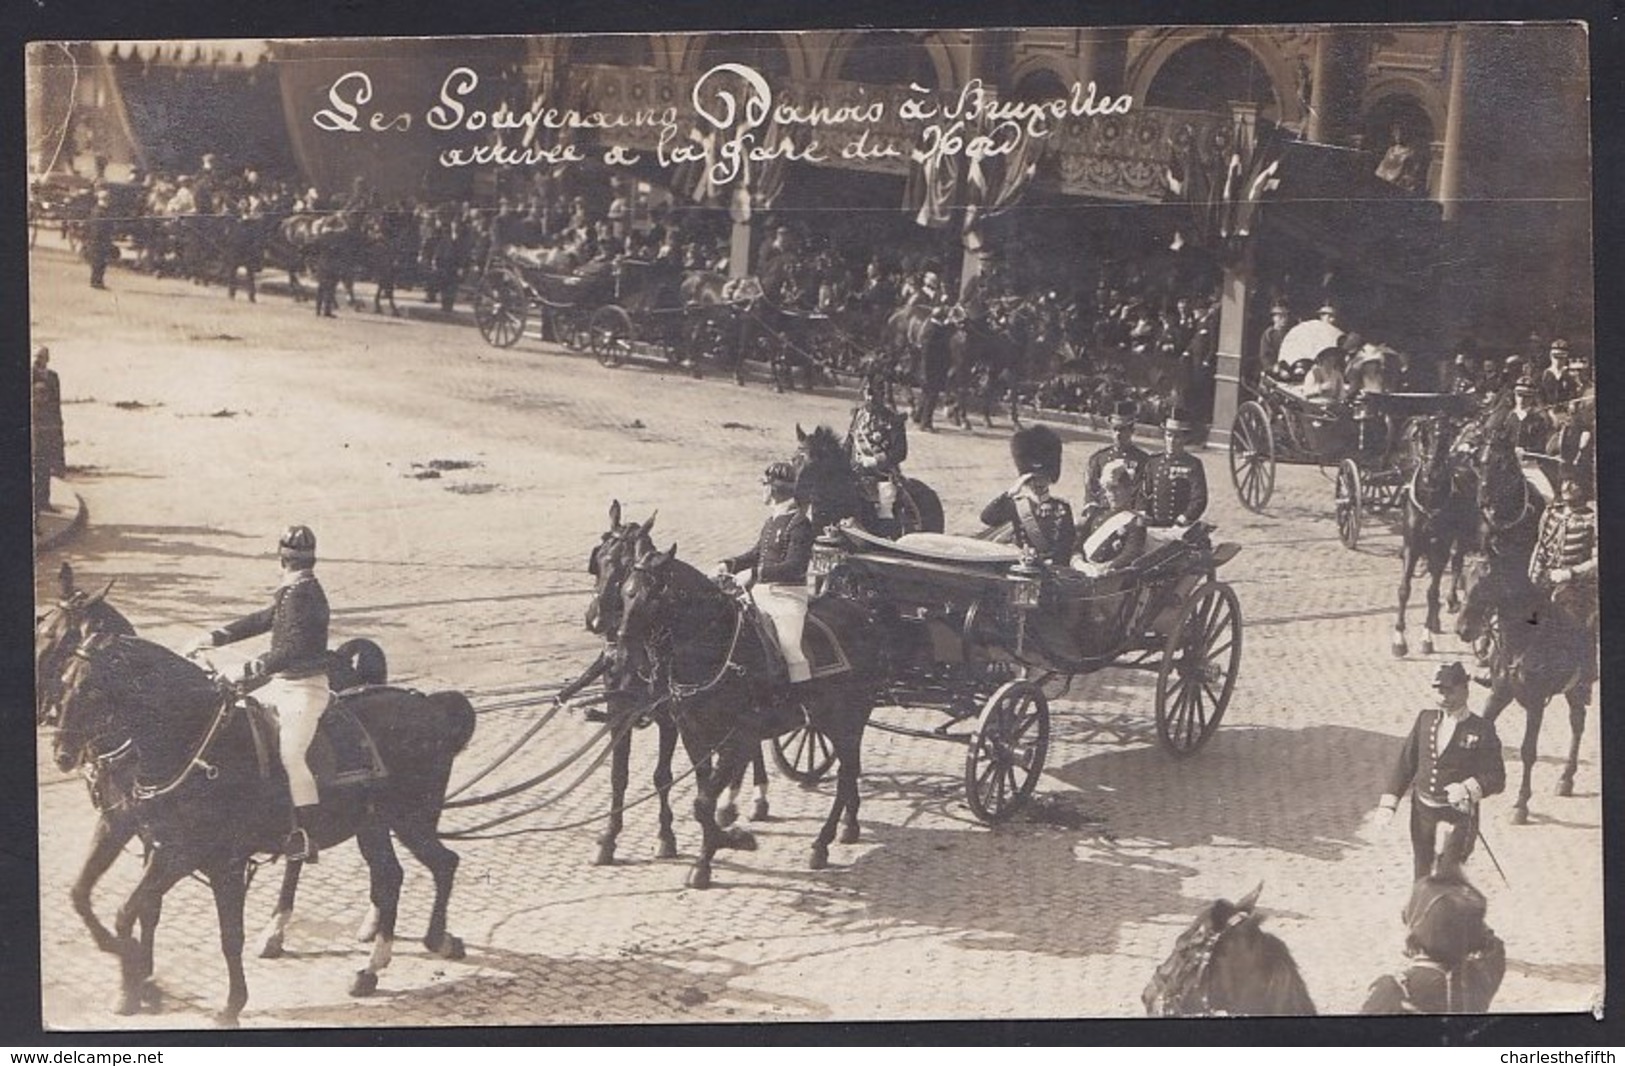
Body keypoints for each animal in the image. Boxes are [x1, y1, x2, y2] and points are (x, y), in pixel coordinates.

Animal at [50, 620, 471, 1027]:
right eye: (63, 681)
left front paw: (223, 1003)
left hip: (410, 819)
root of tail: (429, 706)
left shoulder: (207, 861)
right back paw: (371, 968)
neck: (195, 746)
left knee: (441, 863)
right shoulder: (147, 840)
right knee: (392, 877)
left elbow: (209, 931)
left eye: (90, 689)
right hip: (373, 826)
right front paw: (136, 982)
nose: (61, 754)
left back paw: (432, 940)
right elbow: (96, 898)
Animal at [614, 546, 884, 884]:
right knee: (850, 771)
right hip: (834, 723)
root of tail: (860, 609)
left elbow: (703, 802)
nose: (623, 655)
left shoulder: (737, 737)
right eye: (624, 593)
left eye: (650, 597)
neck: (716, 651)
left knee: (847, 774)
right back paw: (849, 825)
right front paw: (719, 844)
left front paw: (725, 844)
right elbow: (704, 798)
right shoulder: (694, 736)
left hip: (847, 720)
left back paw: (822, 843)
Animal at [1456, 549, 1592, 825]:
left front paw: (1521, 804)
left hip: (1577, 688)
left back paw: (1566, 778)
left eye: (1485, 584)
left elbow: (1528, 751)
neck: (1522, 639)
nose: (1463, 629)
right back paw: (1566, 778)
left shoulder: (1536, 703)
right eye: (1463, 580)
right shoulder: (1498, 694)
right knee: (1577, 721)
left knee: (1577, 724)